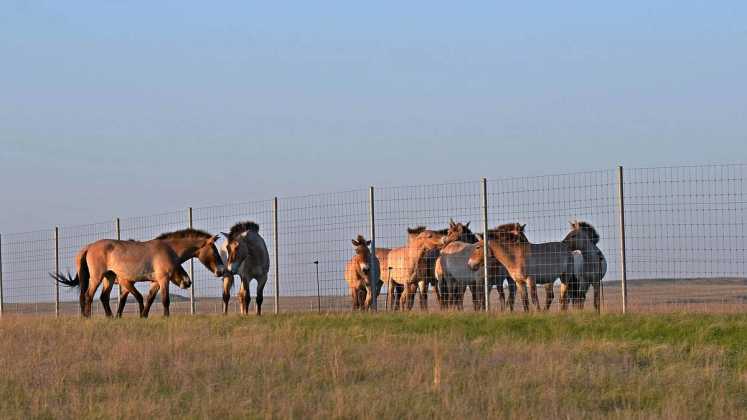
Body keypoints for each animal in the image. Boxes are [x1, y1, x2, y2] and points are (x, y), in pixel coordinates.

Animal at [51, 230, 224, 318]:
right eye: (215, 251)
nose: (221, 271)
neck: (168, 249)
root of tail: (89, 246)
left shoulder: (155, 281)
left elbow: (149, 299)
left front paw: (144, 316)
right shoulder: (163, 279)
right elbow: (165, 300)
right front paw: (165, 317)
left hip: (109, 277)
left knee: (103, 297)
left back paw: (109, 317)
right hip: (97, 277)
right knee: (88, 295)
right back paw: (88, 317)